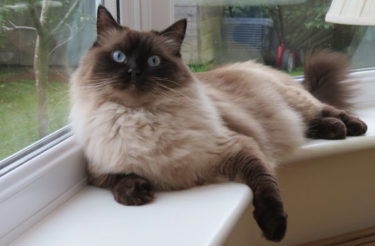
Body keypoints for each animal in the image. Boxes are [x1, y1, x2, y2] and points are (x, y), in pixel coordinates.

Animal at [69, 5, 368, 242]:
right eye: (119, 57)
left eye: (153, 61)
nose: (134, 72)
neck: (141, 115)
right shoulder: (98, 170)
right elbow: (118, 180)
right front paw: (137, 193)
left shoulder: (237, 148)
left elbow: (266, 186)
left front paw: (274, 228)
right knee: (311, 123)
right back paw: (336, 131)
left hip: (297, 102)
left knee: (325, 111)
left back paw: (352, 128)